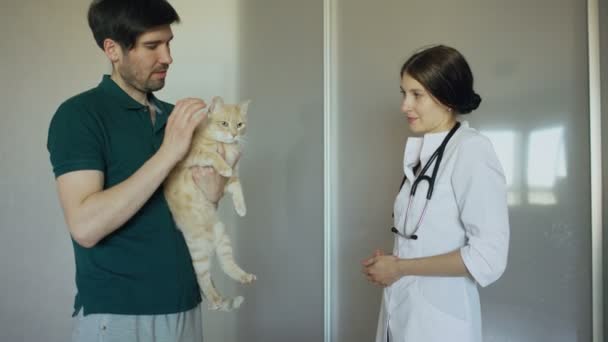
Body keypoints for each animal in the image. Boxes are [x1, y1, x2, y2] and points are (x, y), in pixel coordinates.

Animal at [163, 95, 255, 312]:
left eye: (240, 124)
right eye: (224, 123)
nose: (233, 135)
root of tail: (211, 245)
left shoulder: (229, 182)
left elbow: (238, 188)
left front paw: (241, 208)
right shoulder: (192, 156)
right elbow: (211, 155)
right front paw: (222, 165)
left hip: (224, 241)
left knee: (228, 265)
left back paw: (244, 277)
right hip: (199, 256)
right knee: (203, 280)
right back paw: (215, 300)